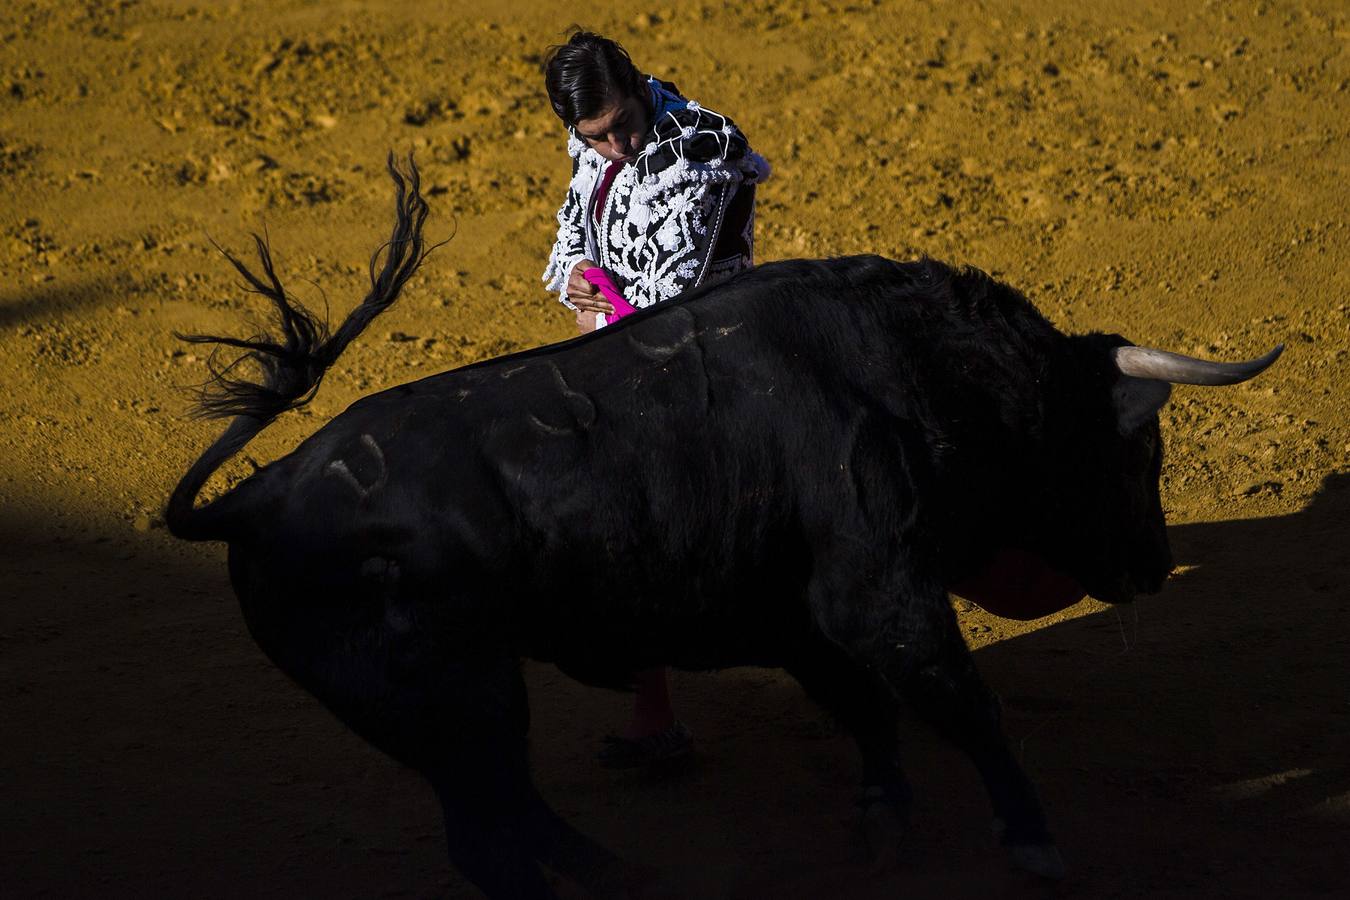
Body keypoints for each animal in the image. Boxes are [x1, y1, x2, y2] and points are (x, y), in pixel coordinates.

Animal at [166, 163, 1274, 900]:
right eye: (1141, 454)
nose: (1155, 567)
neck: (924, 373)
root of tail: (252, 502)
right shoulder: (877, 593)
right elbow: (960, 706)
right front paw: (1034, 840)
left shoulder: (802, 617)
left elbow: (869, 713)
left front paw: (883, 822)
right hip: (455, 698)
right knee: (491, 832)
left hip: (450, 712)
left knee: (505, 815)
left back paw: (619, 875)